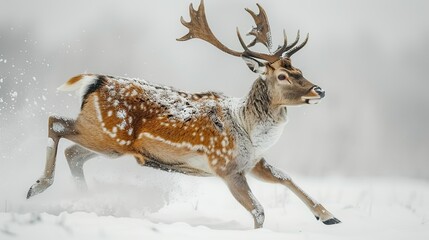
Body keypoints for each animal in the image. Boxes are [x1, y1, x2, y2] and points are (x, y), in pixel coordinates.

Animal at [27, 0, 342, 228]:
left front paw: (329, 216)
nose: (319, 90)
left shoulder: (253, 162)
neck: (249, 130)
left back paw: (87, 198)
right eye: (282, 76)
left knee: (73, 153)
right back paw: (37, 187)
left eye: (299, 70)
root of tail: (94, 81)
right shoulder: (225, 166)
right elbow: (258, 210)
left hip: (111, 144)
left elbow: (285, 176)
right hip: (106, 134)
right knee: (55, 122)